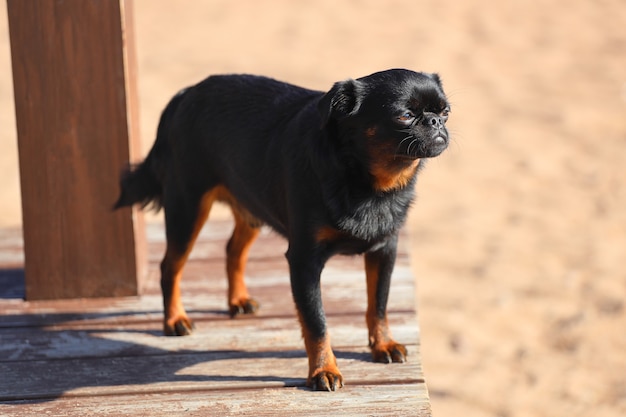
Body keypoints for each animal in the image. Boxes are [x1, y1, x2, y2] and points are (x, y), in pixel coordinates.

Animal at [114, 68, 448, 390]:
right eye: (404, 116)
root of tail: (186, 94)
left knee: (232, 250)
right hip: (188, 208)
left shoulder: (384, 250)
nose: (435, 122)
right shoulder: (304, 262)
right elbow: (316, 322)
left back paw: (237, 300)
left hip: (249, 208)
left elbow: (378, 304)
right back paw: (175, 319)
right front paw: (323, 370)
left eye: (445, 112)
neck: (370, 186)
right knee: (171, 265)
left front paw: (383, 344)